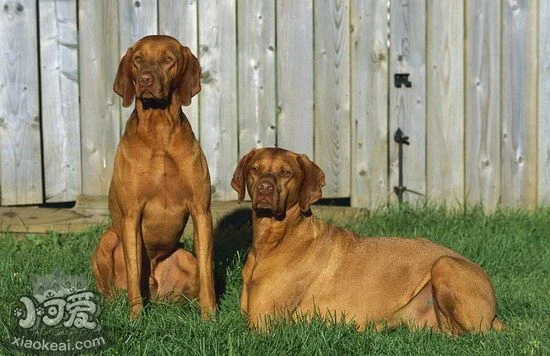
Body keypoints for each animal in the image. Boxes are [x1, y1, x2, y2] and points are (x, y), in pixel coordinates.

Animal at [92, 35, 216, 320]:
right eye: (138, 58)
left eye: (168, 59)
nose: (145, 79)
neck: (159, 131)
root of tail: (155, 289)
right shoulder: (131, 215)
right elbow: (134, 268)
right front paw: (136, 318)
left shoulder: (201, 211)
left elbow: (207, 270)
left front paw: (210, 316)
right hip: (108, 240)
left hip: (185, 258)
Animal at [231, 147, 506, 334]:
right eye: (255, 169)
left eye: (286, 173)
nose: (264, 188)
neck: (270, 242)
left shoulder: (262, 323)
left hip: (444, 264)